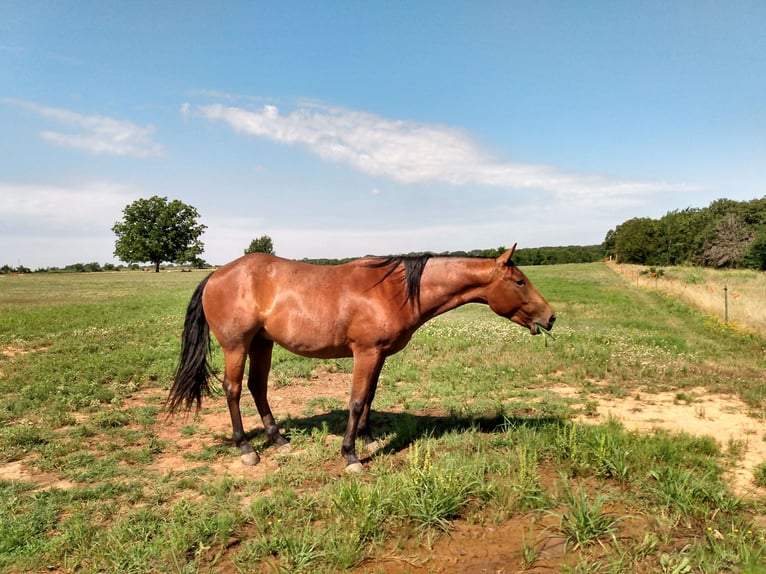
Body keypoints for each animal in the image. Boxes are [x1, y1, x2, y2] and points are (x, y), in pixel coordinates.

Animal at [167, 244, 555, 472]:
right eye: (519, 281)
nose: (550, 317)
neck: (394, 290)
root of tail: (217, 274)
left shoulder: (379, 354)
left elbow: (369, 396)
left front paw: (370, 440)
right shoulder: (365, 353)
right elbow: (355, 400)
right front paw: (351, 455)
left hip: (263, 343)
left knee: (257, 388)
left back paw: (278, 440)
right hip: (237, 346)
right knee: (233, 389)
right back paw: (247, 448)